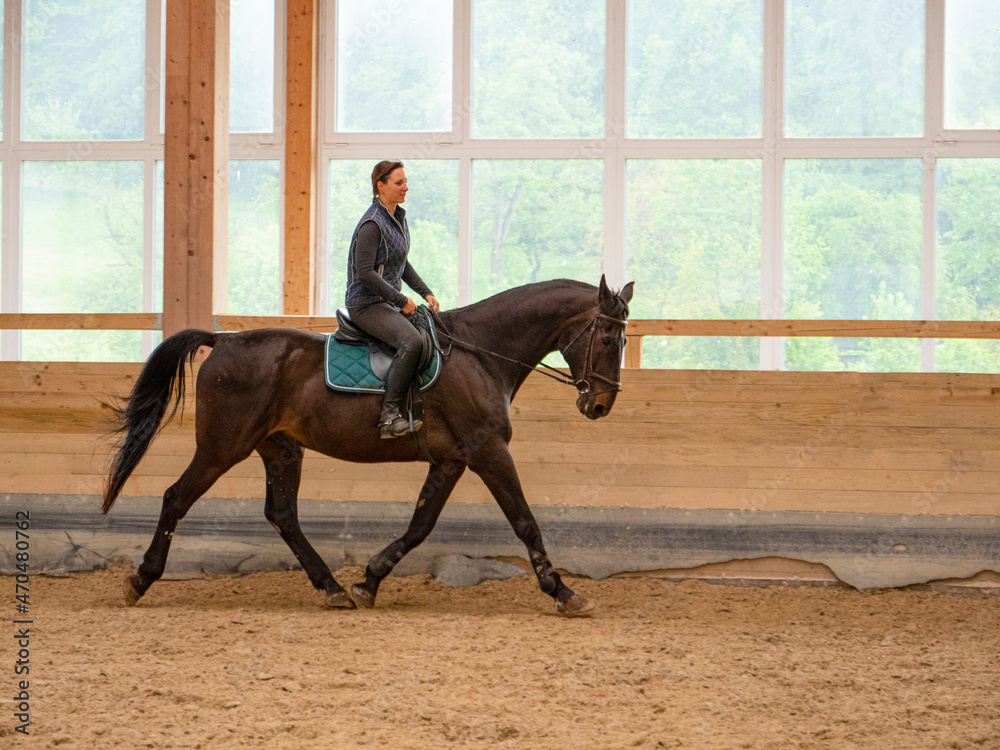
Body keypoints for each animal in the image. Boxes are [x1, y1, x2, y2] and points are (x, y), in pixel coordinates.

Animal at [101, 276, 632, 616]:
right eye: (608, 337)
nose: (601, 405)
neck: (482, 354)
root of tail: (223, 341)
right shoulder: (488, 452)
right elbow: (524, 521)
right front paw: (563, 592)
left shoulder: (450, 461)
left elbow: (419, 526)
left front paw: (368, 581)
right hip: (222, 447)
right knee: (177, 497)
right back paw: (140, 579)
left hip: (281, 449)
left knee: (282, 515)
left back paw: (333, 588)